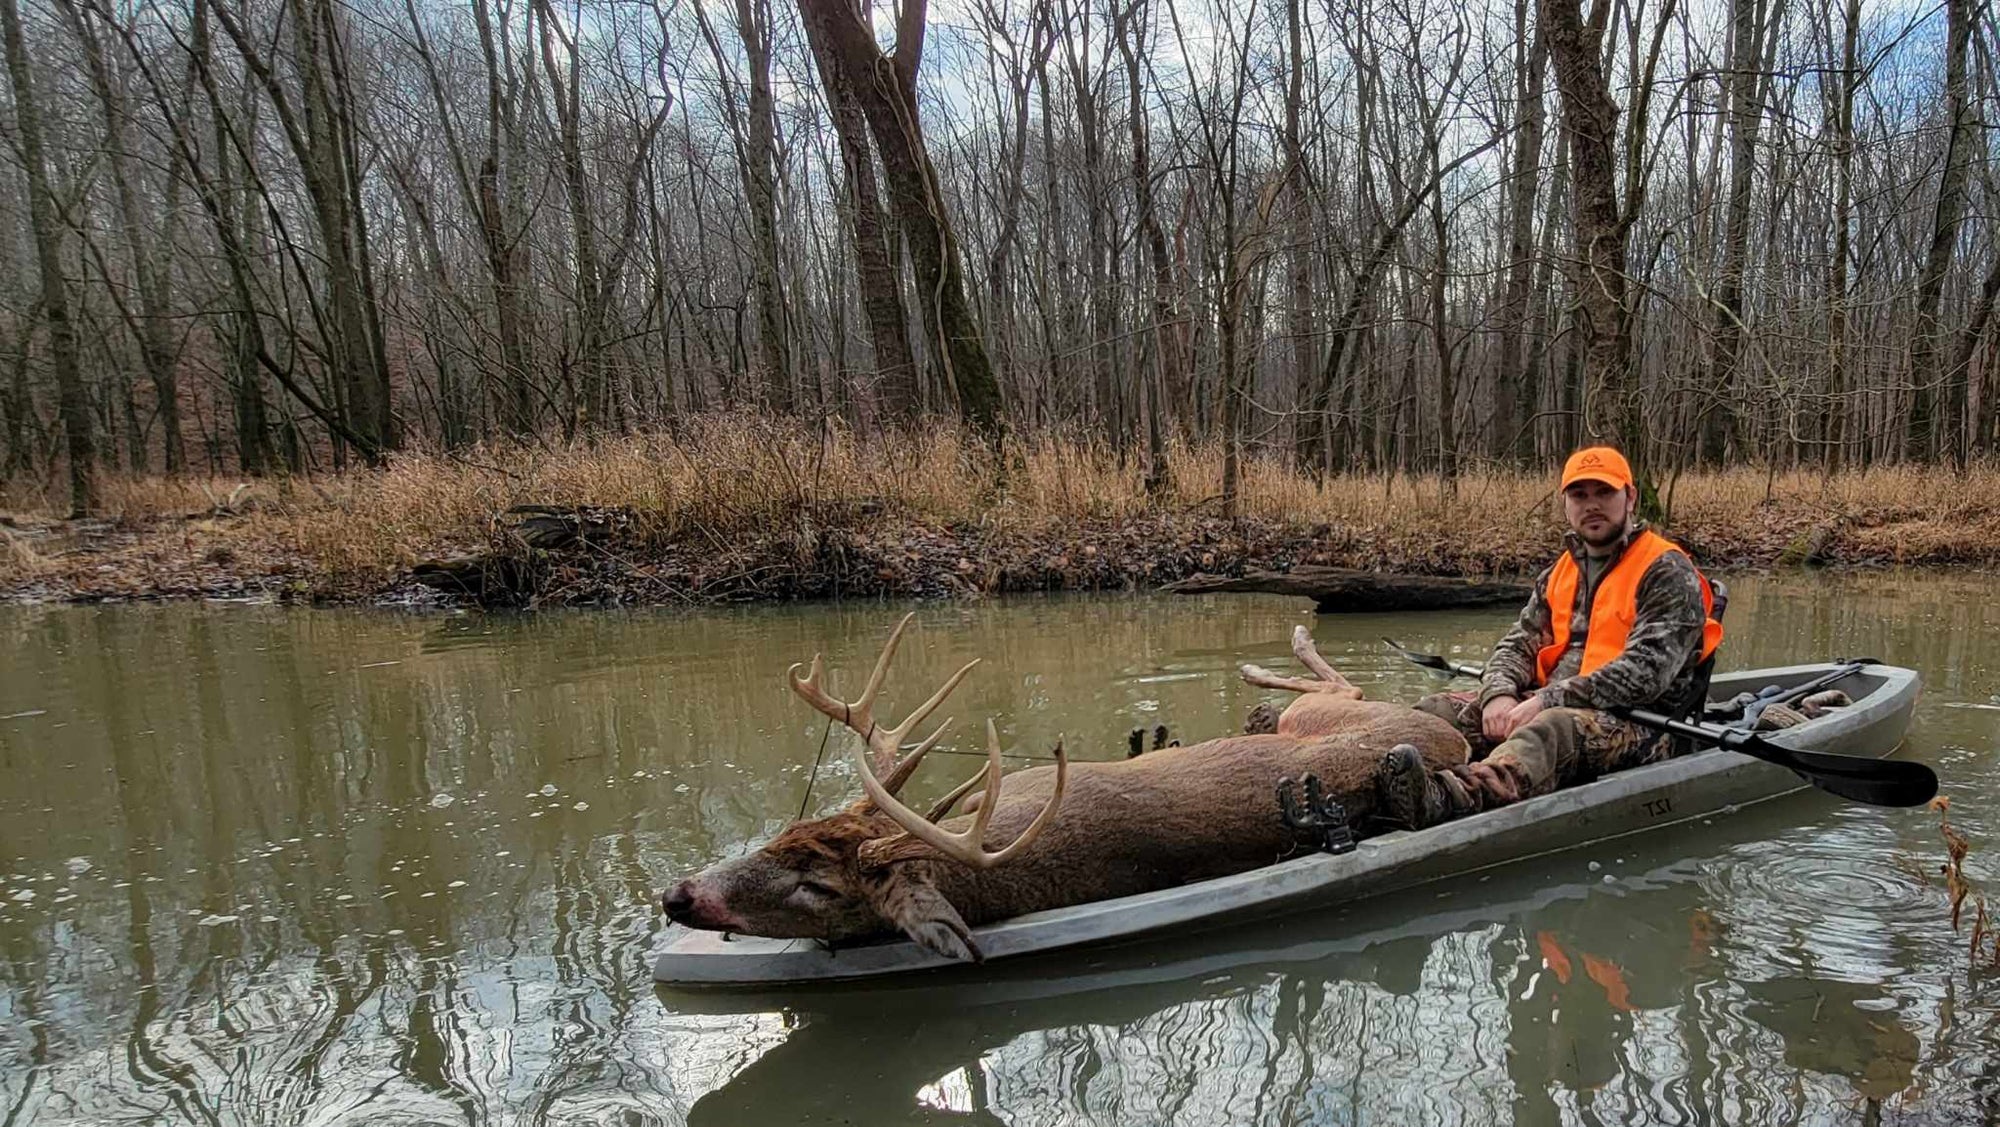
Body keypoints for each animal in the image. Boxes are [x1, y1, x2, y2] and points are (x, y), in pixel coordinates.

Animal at [664, 615, 1464, 959]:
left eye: (819, 887)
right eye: (782, 835)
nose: (677, 895)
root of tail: (1450, 741)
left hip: (1336, 717)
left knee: (1341, 685)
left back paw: (1274, 653)